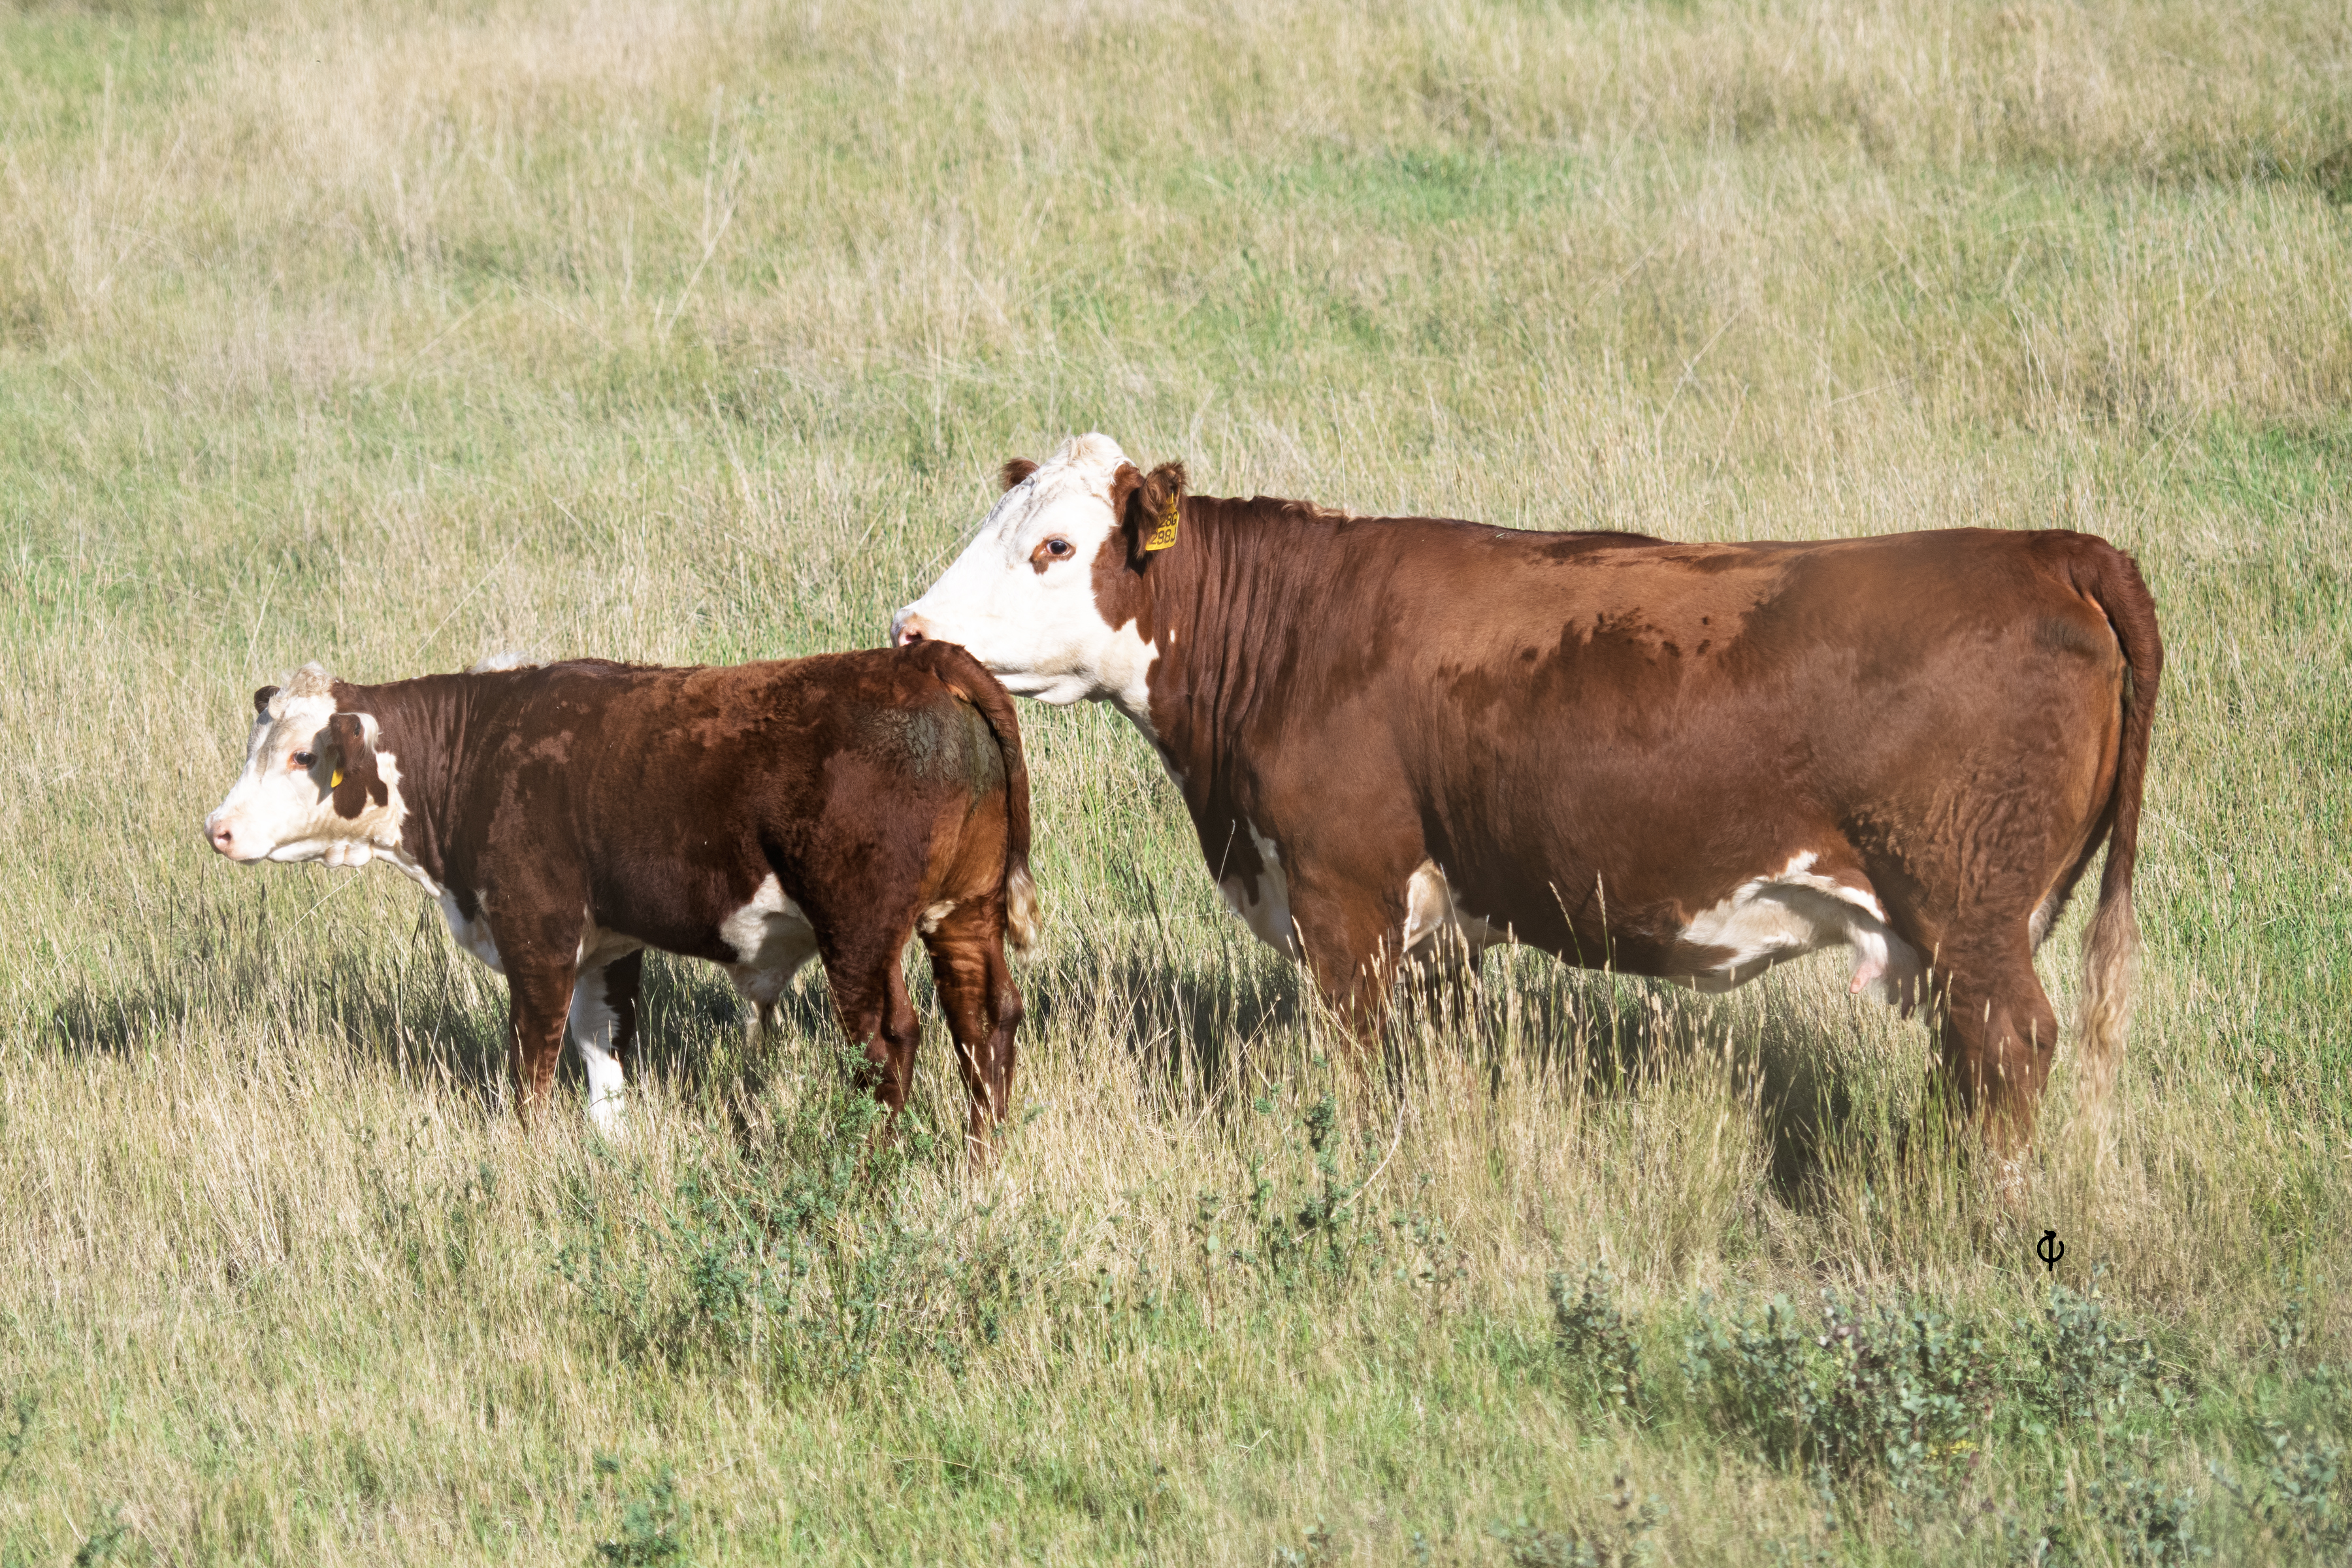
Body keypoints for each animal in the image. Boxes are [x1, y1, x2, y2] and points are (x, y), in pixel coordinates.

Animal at [203, 645, 1035, 1152]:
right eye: (255, 747)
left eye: (302, 755)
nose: (218, 829)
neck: (479, 750)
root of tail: (919, 660)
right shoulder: (608, 942)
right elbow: (602, 1044)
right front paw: (611, 1144)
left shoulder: (535, 931)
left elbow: (532, 1058)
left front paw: (528, 1155)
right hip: (965, 913)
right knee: (984, 1020)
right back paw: (979, 1164)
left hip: (857, 931)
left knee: (889, 1040)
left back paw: (867, 1165)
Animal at [891, 433, 2162, 1165]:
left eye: (1056, 547)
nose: (908, 629)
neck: (1296, 636)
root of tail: (2050, 548)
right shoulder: (1438, 922)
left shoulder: (1343, 898)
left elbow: (1353, 1069)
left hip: (1969, 913)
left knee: (2010, 1049)